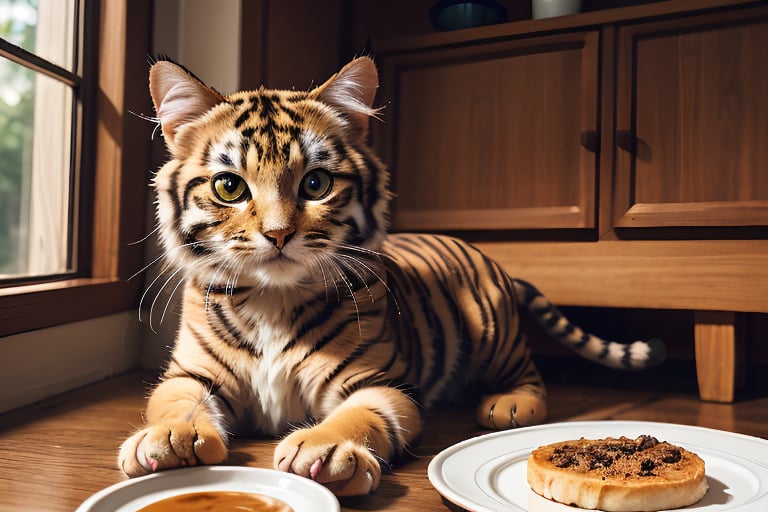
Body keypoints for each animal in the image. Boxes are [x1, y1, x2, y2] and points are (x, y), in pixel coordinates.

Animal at [117, 57, 664, 496]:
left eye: (315, 183)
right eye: (229, 187)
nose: (278, 234)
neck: (273, 300)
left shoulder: (380, 382)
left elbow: (361, 417)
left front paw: (328, 451)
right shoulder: (190, 373)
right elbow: (174, 403)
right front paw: (166, 440)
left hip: (495, 331)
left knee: (528, 372)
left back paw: (508, 406)